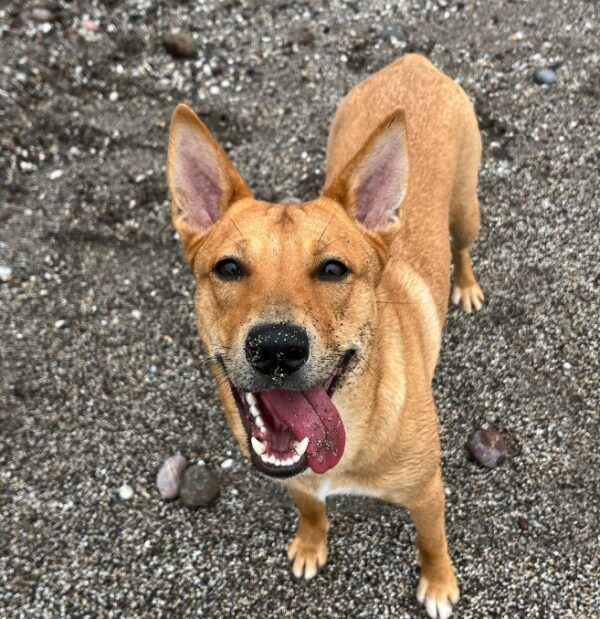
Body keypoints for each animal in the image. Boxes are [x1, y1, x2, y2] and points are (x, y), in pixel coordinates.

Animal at [166, 55, 486, 616]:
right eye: (228, 268)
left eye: (334, 269)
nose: (276, 347)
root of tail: (413, 61)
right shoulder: (295, 480)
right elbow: (311, 510)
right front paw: (311, 544)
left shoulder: (428, 491)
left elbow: (432, 540)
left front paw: (439, 584)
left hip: (466, 209)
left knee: (464, 247)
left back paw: (465, 286)